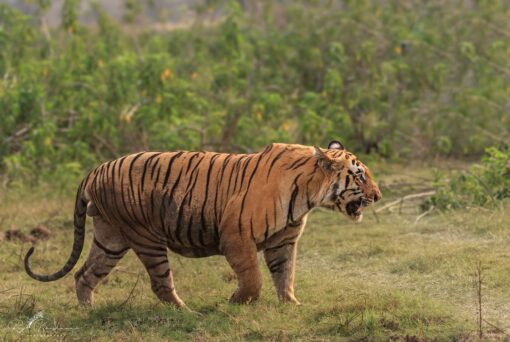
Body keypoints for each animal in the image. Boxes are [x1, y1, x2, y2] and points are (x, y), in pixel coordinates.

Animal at [25, 140, 380, 306]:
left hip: (110, 238)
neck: (308, 194)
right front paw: (236, 302)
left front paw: (291, 304)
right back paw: (187, 312)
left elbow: (285, 275)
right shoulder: (237, 236)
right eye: (360, 176)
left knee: (84, 275)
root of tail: (96, 169)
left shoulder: (283, 242)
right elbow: (253, 279)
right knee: (160, 284)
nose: (377, 195)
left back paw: (87, 309)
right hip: (146, 238)